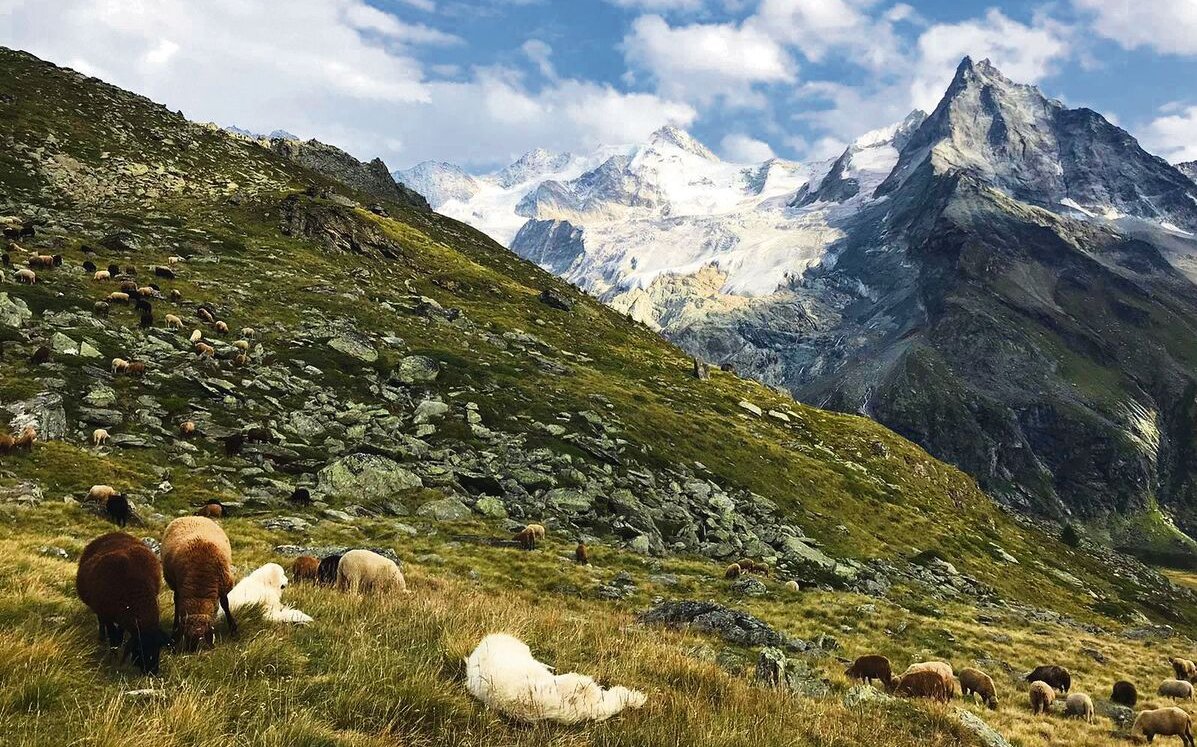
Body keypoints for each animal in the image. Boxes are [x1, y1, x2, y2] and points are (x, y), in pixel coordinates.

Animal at [74, 533, 171, 675]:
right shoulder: (107, 614)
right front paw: (113, 655)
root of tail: (114, 533)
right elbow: (112, 635)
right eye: (140, 648)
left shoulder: (123, 616)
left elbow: (119, 633)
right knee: (101, 622)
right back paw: (101, 638)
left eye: (158, 648)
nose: (152, 672)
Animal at [163, 517, 238, 651]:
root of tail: (192, 516)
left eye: (202, 637)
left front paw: (233, 630)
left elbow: (225, 604)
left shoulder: (224, 586)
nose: (192, 650)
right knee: (176, 602)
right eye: (186, 635)